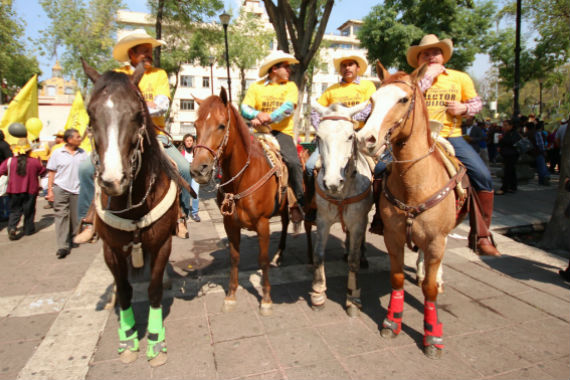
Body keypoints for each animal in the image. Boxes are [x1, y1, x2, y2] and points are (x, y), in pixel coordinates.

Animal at [82, 60, 192, 366]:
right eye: (90, 113)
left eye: (137, 113)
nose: (112, 180)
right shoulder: (112, 249)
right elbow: (124, 290)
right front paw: (128, 338)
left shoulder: (162, 242)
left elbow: (153, 289)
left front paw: (155, 342)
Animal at [190, 88, 288, 314]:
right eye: (195, 125)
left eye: (221, 125)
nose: (199, 170)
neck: (244, 177)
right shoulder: (230, 224)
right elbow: (234, 258)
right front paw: (231, 295)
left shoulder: (263, 224)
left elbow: (262, 259)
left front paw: (266, 299)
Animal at [306, 102, 372, 316]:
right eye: (318, 137)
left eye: (350, 136)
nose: (333, 182)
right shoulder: (323, 220)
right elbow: (319, 255)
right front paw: (318, 295)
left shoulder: (359, 221)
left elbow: (354, 260)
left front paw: (353, 299)